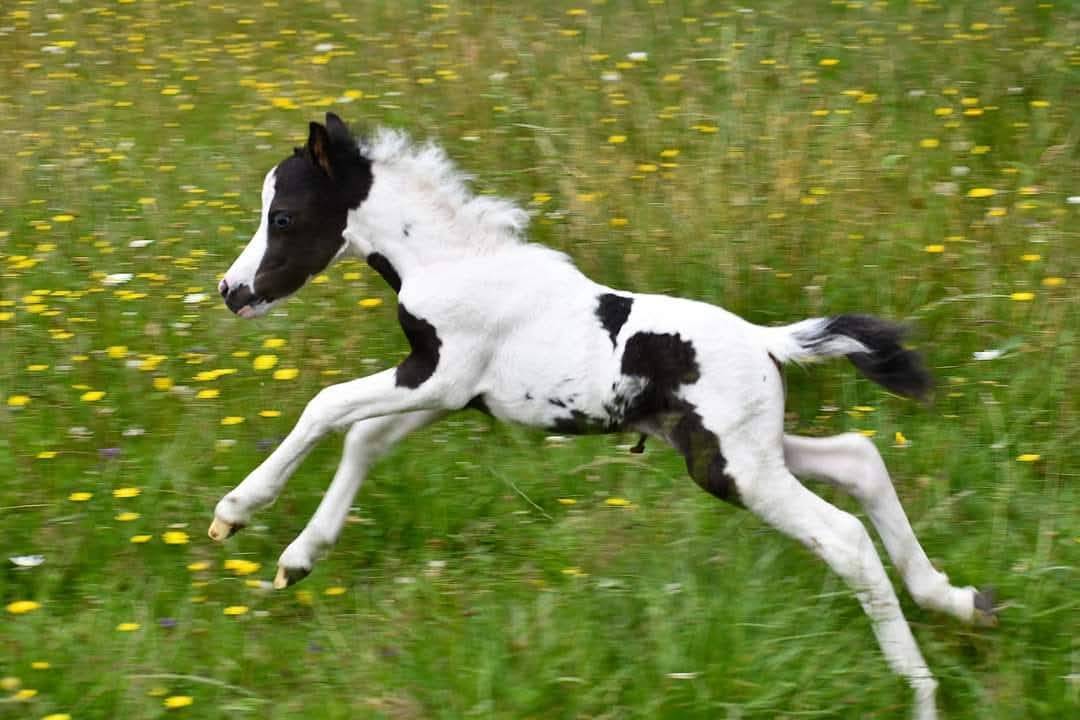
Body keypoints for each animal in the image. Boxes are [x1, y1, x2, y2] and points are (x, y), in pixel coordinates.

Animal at [211, 113, 995, 719]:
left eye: (283, 217)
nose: (231, 291)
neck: (457, 263)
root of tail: (768, 342)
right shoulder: (445, 394)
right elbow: (364, 441)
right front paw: (296, 560)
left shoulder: (438, 374)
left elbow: (325, 409)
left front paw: (236, 511)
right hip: (734, 450)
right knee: (860, 459)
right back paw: (960, 602)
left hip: (734, 470)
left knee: (846, 537)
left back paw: (921, 693)